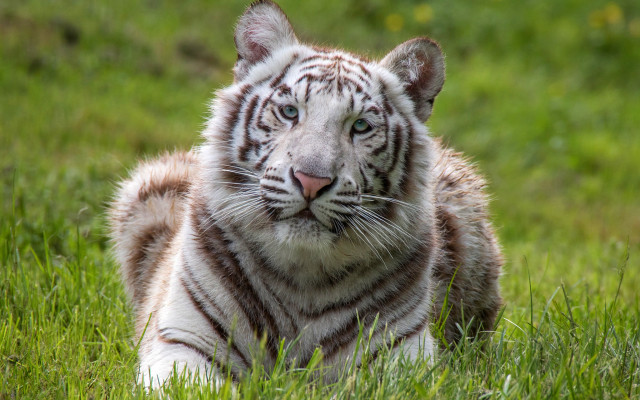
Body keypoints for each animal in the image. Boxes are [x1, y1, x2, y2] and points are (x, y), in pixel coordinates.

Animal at [109, 0, 502, 387]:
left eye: (361, 126)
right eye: (289, 112)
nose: (311, 180)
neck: (302, 278)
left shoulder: (400, 354)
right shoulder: (185, 340)